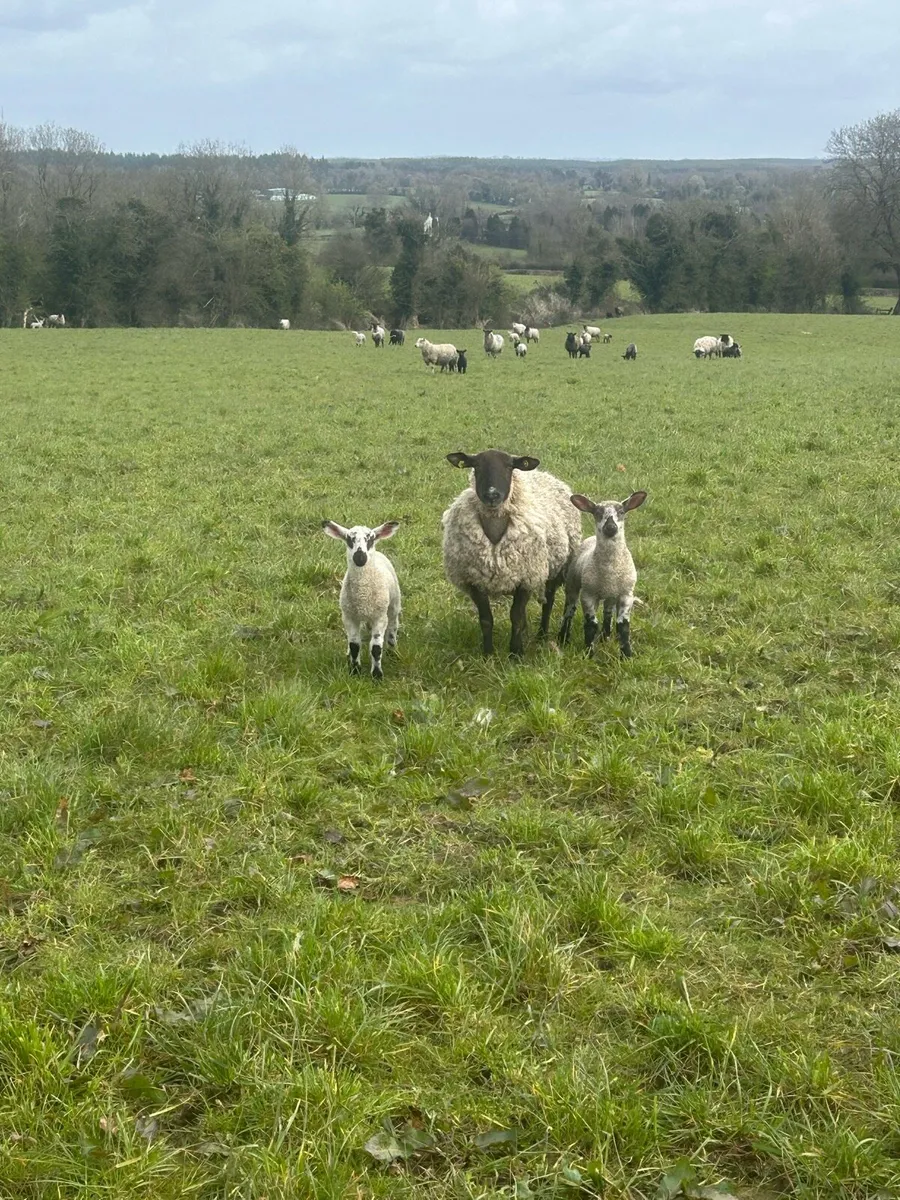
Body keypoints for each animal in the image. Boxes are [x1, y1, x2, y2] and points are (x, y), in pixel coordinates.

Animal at [322, 519, 401, 680]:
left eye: (370, 539)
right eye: (348, 539)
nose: (360, 558)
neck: (362, 595)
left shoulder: (379, 617)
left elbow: (376, 647)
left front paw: (377, 675)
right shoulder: (349, 616)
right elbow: (354, 645)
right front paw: (354, 670)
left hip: (393, 605)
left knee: (392, 626)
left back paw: (392, 649)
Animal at [441, 449, 582, 657]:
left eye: (509, 466)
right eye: (476, 466)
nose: (492, 495)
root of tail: (544, 474)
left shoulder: (526, 578)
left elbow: (516, 617)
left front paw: (516, 653)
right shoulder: (474, 581)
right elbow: (486, 619)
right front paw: (488, 654)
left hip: (559, 567)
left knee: (549, 602)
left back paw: (543, 635)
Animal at [559, 490, 647, 658]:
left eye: (621, 512)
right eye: (598, 513)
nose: (611, 527)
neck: (611, 570)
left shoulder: (626, 594)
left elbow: (623, 626)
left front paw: (626, 655)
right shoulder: (587, 595)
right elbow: (591, 625)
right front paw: (589, 653)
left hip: (611, 595)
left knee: (607, 613)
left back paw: (605, 637)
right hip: (573, 584)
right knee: (569, 610)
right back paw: (563, 637)